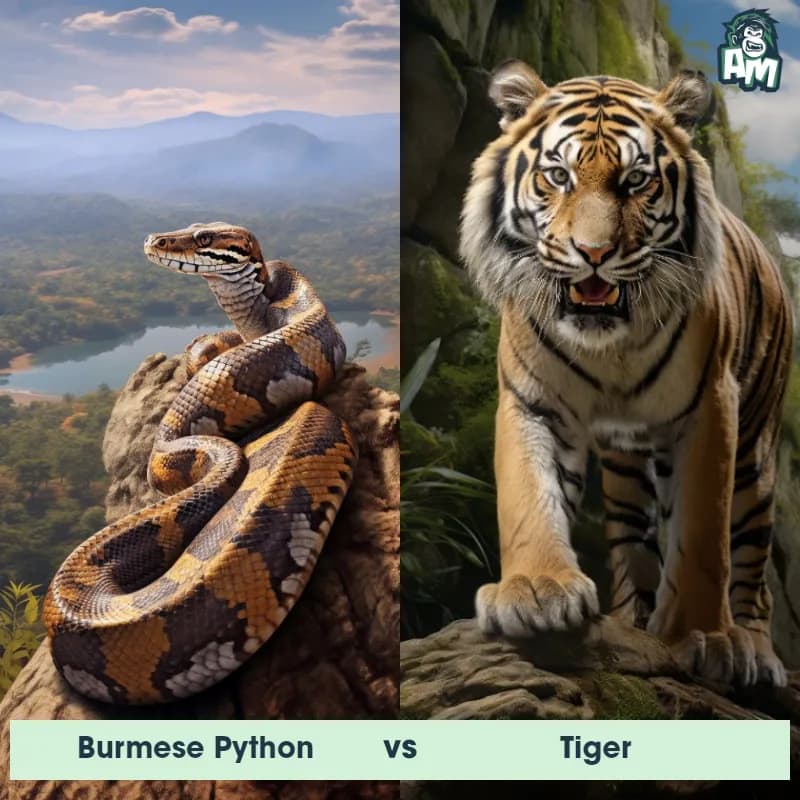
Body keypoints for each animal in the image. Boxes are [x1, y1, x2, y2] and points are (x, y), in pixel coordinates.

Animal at [459, 61, 792, 687]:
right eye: (558, 176)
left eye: (636, 181)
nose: (593, 253)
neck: (607, 345)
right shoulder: (533, 401)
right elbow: (527, 495)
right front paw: (535, 591)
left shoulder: (710, 408)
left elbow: (703, 533)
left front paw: (704, 635)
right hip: (625, 469)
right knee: (634, 545)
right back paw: (633, 621)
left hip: (756, 457)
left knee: (753, 566)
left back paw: (756, 650)